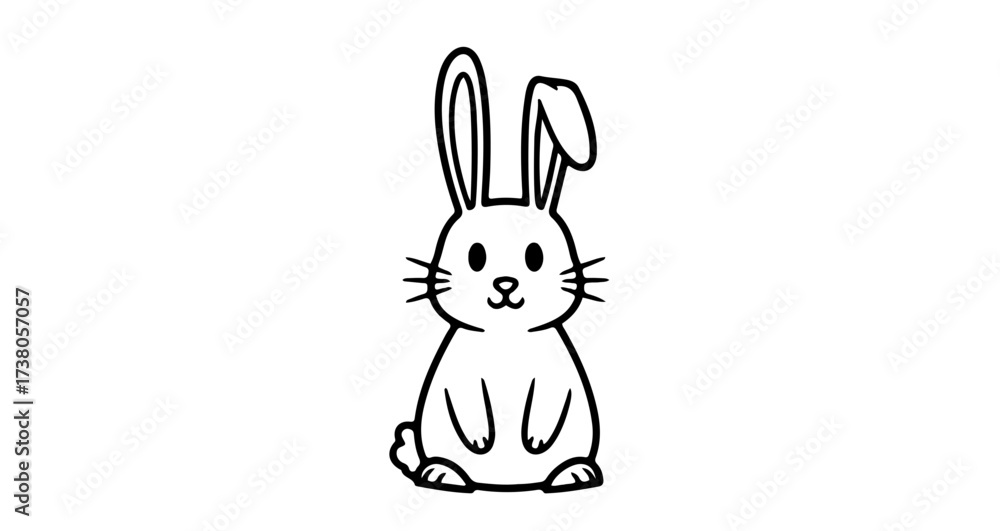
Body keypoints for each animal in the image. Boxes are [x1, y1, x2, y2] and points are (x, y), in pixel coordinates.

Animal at [390, 47, 605, 493]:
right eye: (476, 256)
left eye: (535, 256)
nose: (505, 284)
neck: (507, 338)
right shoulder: (459, 377)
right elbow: (468, 399)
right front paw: (480, 439)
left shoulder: (555, 376)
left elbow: (548, 401)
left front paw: (535, 440)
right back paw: (443, 473)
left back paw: (573, 473)